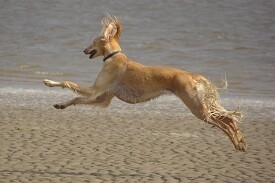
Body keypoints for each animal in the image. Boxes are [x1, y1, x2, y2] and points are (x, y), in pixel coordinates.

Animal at [43, 13, 248, 152]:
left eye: (93, 41)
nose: (84, 50)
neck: (114, 57)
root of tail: (194, 76)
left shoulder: (95, 90)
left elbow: (67, 82)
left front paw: (49, 81)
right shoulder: (102, 98)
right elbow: (76, 100)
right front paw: (61, 105)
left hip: (197, 108)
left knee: (224, 123)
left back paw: (236, 141)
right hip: (201, 106)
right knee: (229, 119)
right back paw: (240, 140)